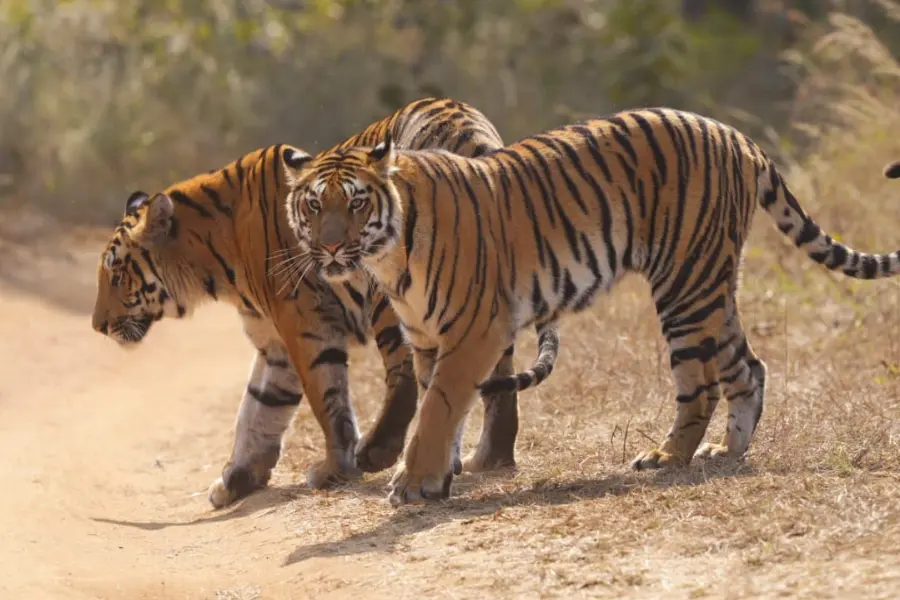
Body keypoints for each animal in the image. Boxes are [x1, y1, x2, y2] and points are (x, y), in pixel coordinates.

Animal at [90, 97, 560, 509]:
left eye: (116, 273)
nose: (97, 325)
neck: (217, 257)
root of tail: (463, 122)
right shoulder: (273, 342)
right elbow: (258, 408)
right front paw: (236, 479)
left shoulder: (305, 324)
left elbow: (325, 401)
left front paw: (334, 468)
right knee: (490, 372)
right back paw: (488, 459)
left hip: (394, 294)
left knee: (408, 375)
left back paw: (379, 452)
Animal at [281, 107, 900, 506]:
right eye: (313, 206)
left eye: (356, 204)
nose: (329, 247)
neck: (389, 256)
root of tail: (734, 134)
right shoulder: (429, 340)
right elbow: (442, 413)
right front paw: (439, 477)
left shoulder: (473, 332)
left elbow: (437, 411)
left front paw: (412, 486)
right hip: (711, 285)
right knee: (747, 367)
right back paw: (719, 452)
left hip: (686, 282)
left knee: (705, 380)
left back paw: (674, 457)